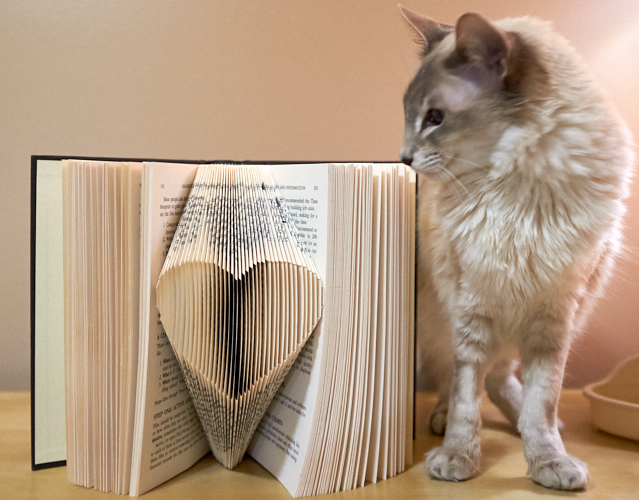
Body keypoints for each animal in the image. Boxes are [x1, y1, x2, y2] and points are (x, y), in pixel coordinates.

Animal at [400, 4, 636, 492]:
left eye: (435, 117)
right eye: (409, 114)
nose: (404, 158)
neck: (517, 196)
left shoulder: (552, 319)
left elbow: (542, 402)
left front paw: (548, 461)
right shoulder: (471, 312)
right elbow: (467, 399)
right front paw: (458, 458)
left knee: (503, 380)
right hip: (443, 321)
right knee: (460, 381)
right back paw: (441, 420)